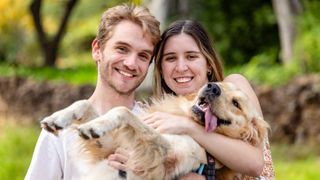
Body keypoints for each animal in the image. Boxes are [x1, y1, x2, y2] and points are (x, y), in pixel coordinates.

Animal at [40, 82, 270, 180]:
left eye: (236, 103)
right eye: (221, 83)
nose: (212, 86)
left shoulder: (162, 156)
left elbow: (123, 111)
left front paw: (92, 126)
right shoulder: (111, 146)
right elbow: (84, 103)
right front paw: (57, 119)